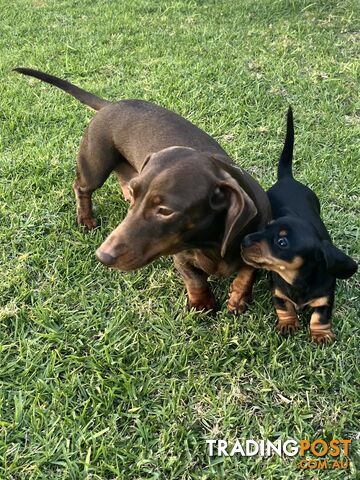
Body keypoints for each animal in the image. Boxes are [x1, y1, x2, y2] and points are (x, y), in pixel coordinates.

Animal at [242, 107, 358, 344]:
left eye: (282, 242)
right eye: (266, 227)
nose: (244, 240)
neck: (297, 280)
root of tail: (287, 178)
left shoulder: (325, 298)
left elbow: (319, 317)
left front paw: (321, 334)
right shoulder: (278, 293)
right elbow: (284, 307)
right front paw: (288, 324)